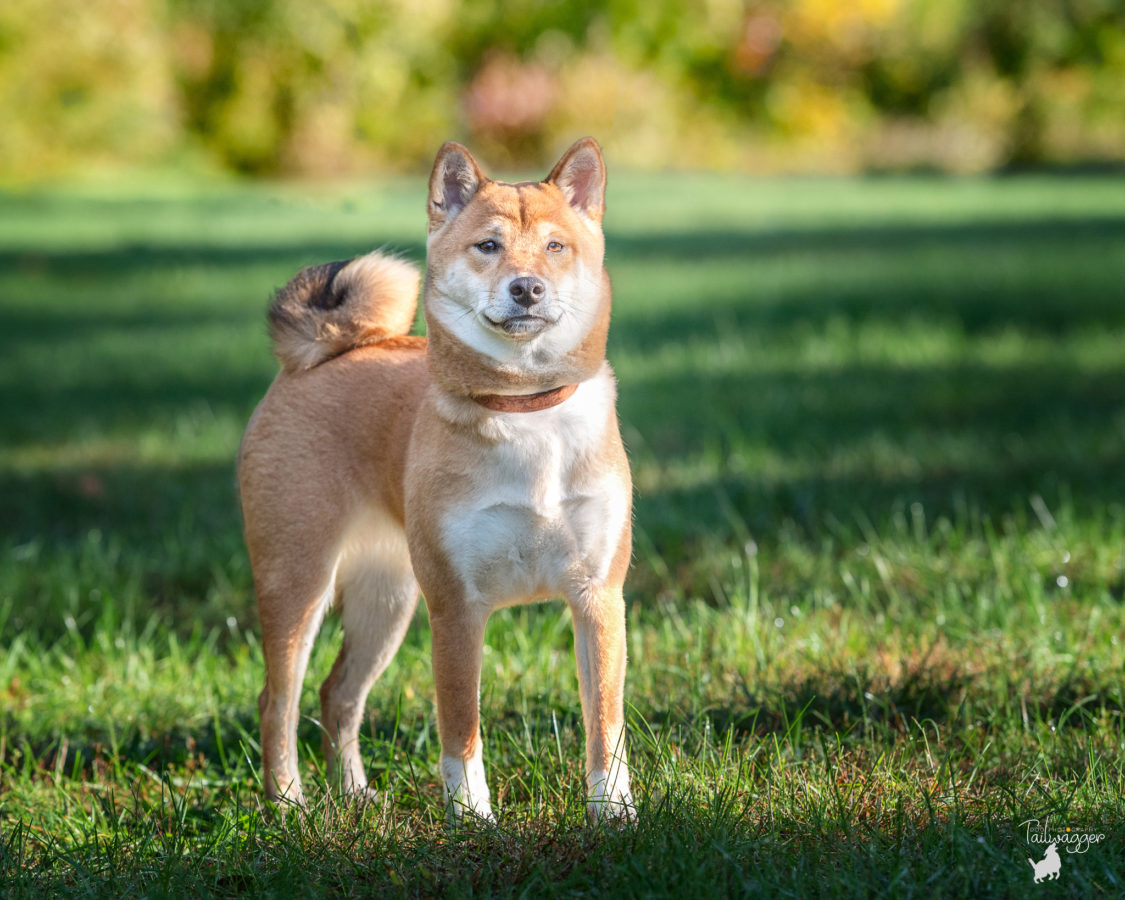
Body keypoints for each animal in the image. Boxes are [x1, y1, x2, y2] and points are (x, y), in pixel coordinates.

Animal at [237, 138, 634, 823]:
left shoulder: (598, 598)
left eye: (556, 246)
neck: (524, 409)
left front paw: (614, 815)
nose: (527, 288)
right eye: (488, 245)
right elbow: (461, 731)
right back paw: (289, 805)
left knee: (339, 694)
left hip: (386, 600)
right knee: (278, 702)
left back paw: (355, 794)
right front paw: (473, 820)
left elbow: (604, 727)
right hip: (299, 584)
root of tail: (326, 352)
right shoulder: (456, 609)